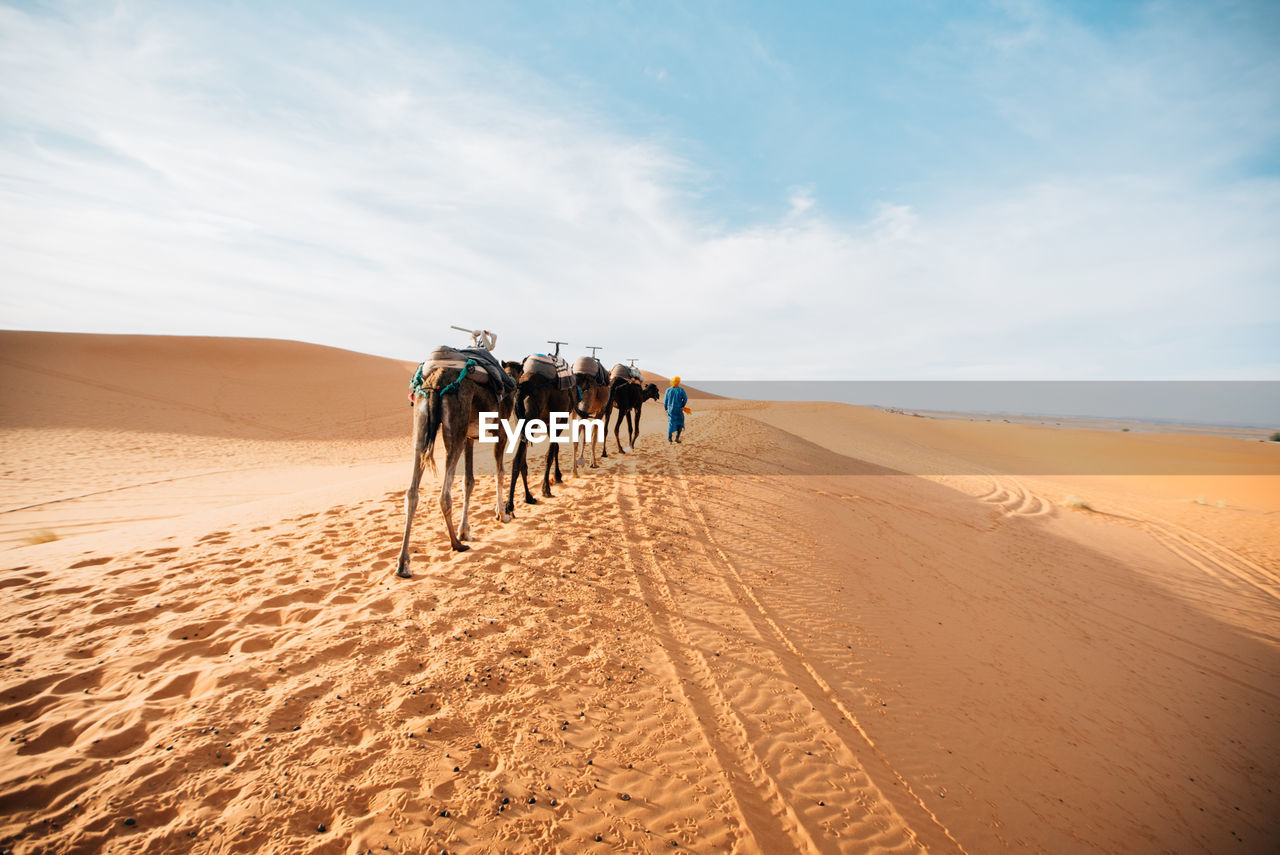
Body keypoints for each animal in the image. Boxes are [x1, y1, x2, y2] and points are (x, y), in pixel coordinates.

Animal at [401, 345, 517, 573]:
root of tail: (437, 377)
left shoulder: (469, 438)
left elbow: (468, 482)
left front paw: (466, 530)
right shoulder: (500, 431)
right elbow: (499, 473)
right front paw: (502, 514)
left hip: (422, 425)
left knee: (412, 492)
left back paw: (403, 563)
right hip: (455, 425)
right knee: (444, 494)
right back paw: (455, 543)